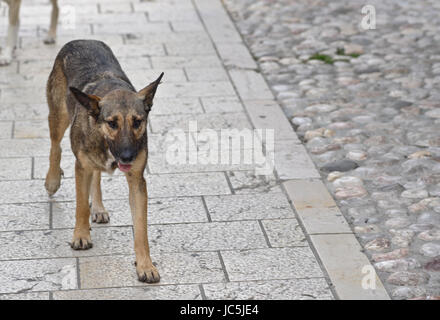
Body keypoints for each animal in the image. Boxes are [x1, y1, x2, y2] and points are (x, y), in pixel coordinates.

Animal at [44, 40, 163, 282]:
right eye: (112, 123)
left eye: (138, 122)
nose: (127, 156)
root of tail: (82, 39)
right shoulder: (81, 167)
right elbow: (81, 206)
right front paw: (81, 236)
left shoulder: (137, 181)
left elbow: (141, 229)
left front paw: (145, 265)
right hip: (59, 116)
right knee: (55, 146)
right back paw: (52, 180)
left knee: (97, 174)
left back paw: (98, 208)